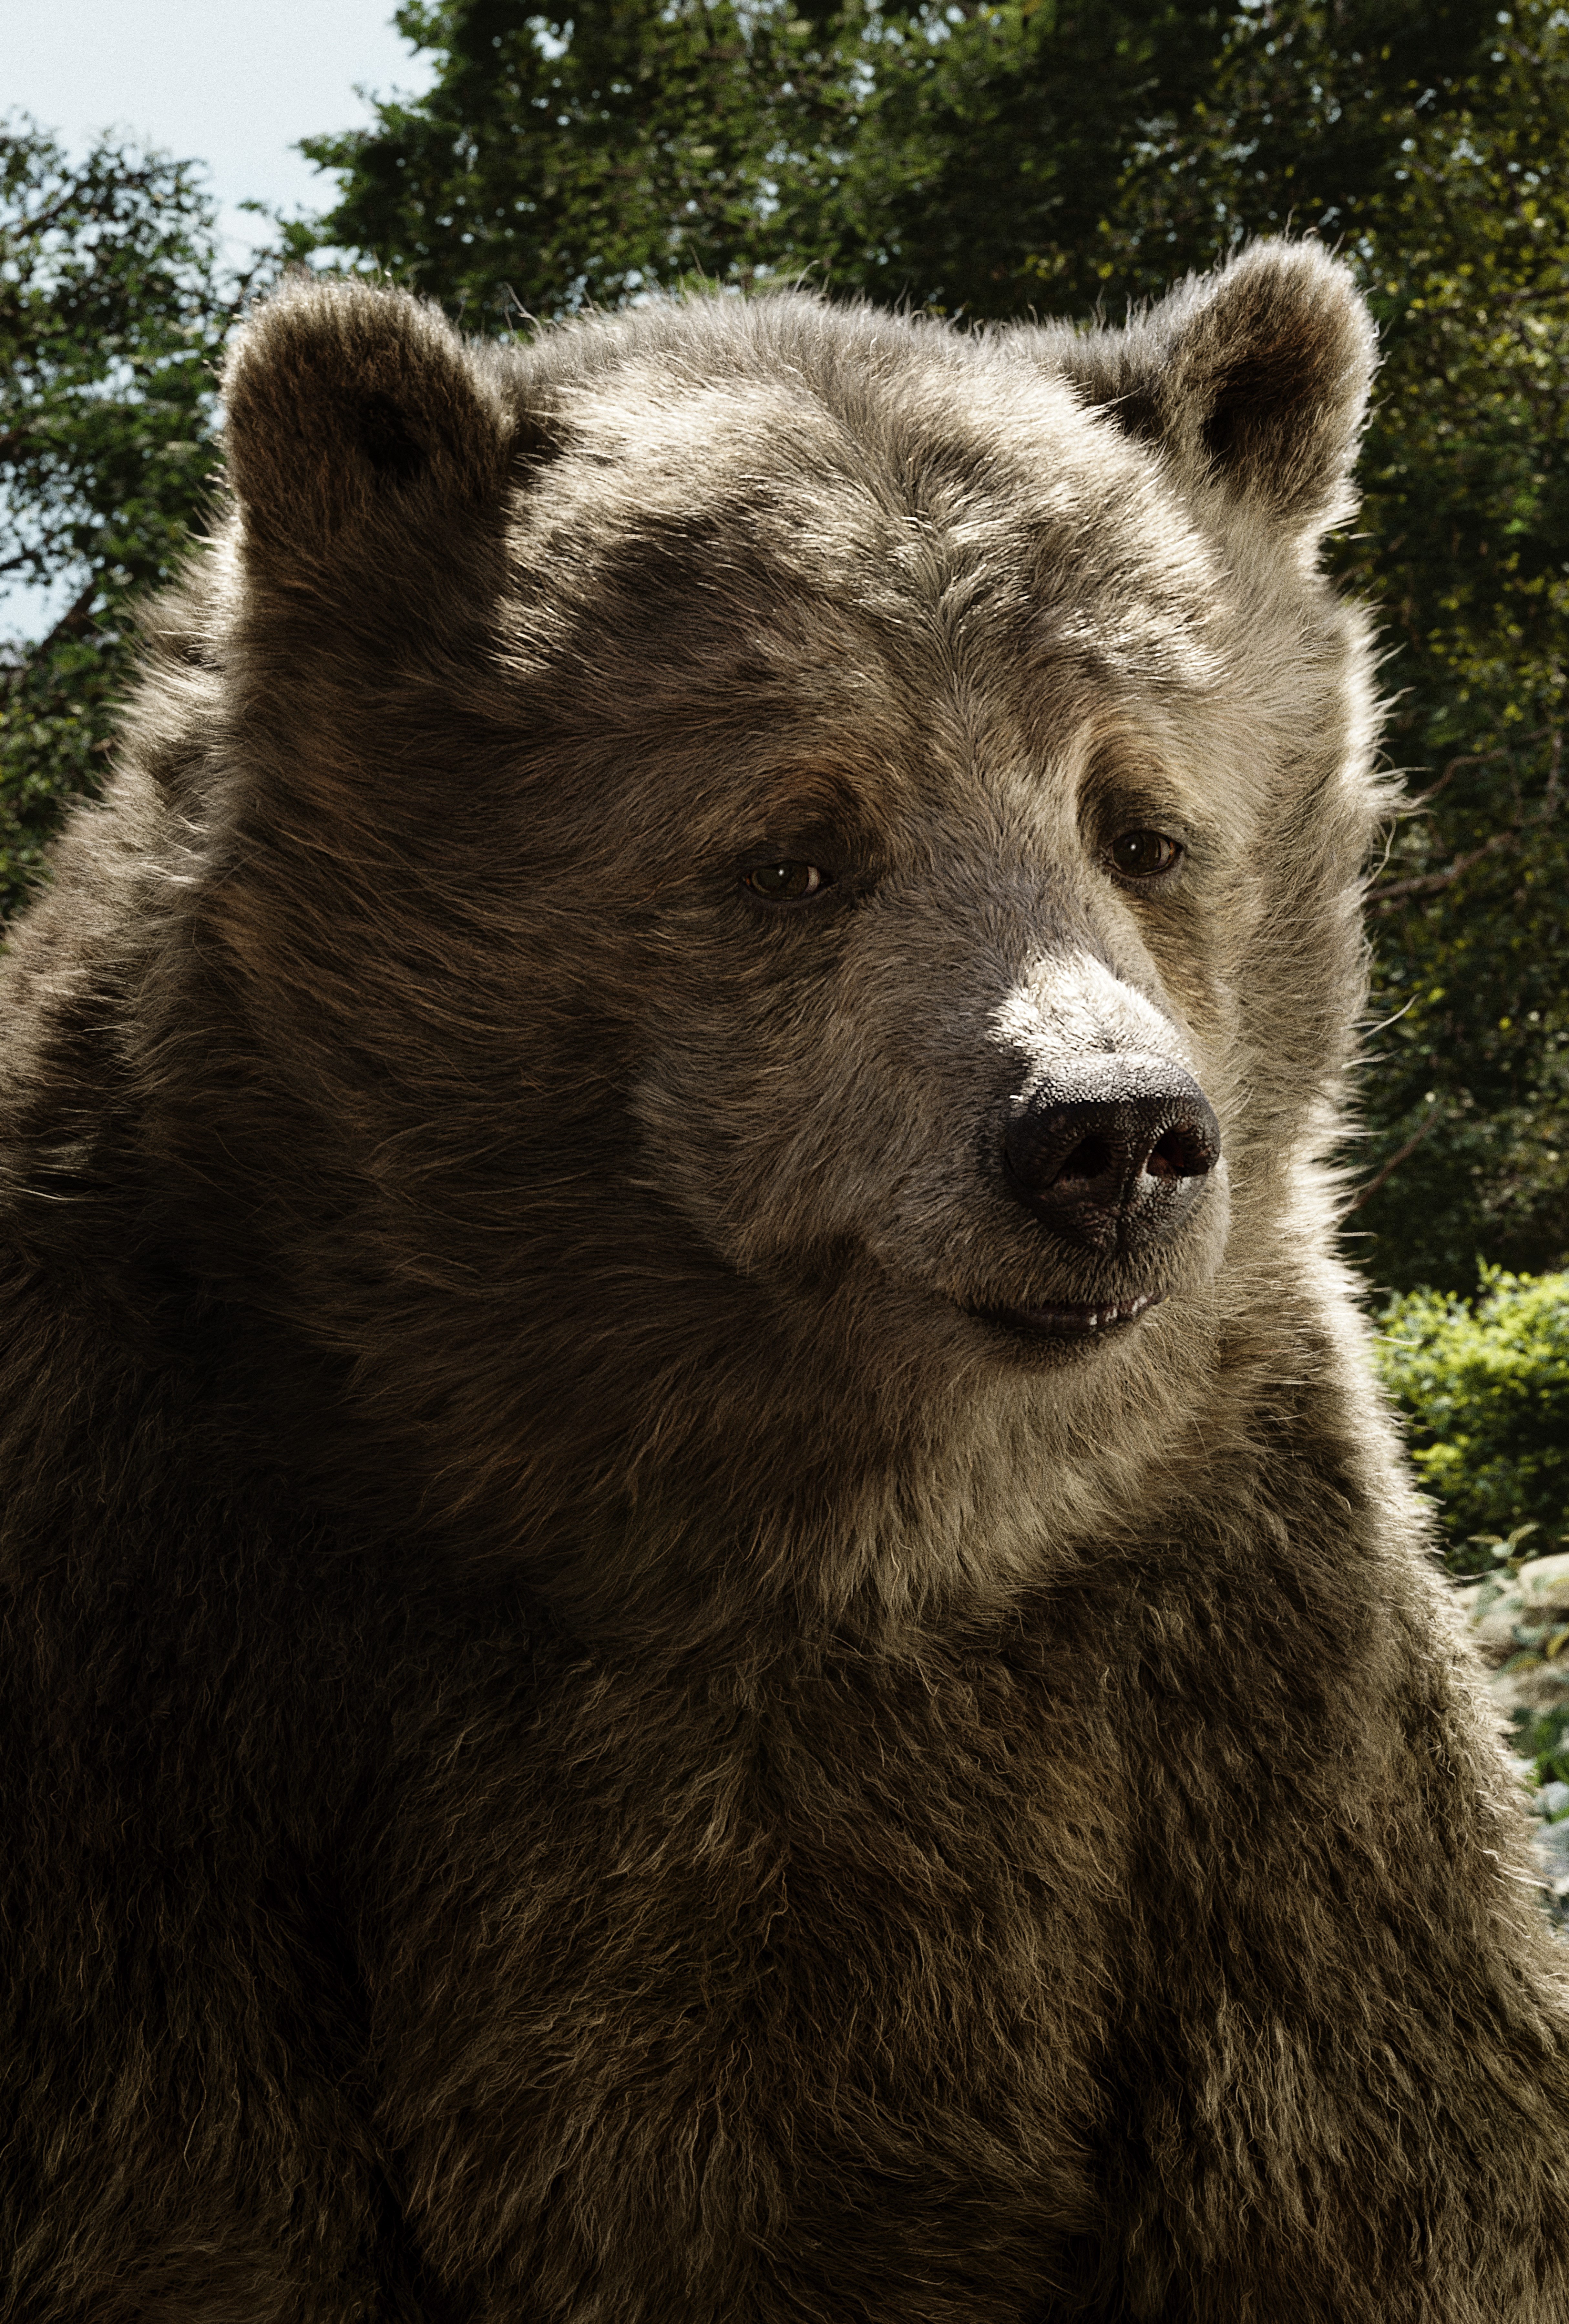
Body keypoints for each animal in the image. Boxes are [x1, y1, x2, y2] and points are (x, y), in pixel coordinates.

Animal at [1, 238, 1567, 2323]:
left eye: (1143, 824)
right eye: (796, 848)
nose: (1111, 1136)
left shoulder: (1244, 1654)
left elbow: (1383, 2148)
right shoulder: (155, 1603)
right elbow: (167, 2175)